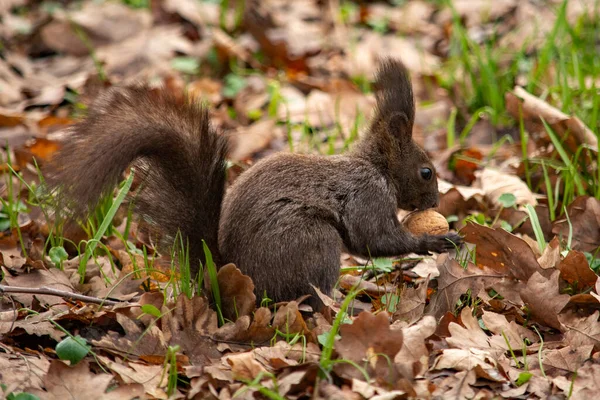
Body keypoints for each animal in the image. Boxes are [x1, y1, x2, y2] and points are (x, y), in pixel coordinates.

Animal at [47, 58, 462, 310]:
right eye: (426, 172)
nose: (436, 203)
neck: (375, 166)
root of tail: (226, 277)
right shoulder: (367, 195)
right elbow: (375, 239)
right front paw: (436, 241)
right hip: (312, 242)